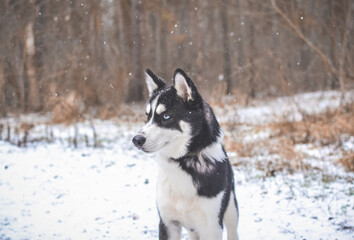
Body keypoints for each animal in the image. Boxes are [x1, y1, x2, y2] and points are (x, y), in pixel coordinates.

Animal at [133, 68, 241, 239]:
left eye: (166, 116)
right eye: (147, 116)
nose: (136, 140)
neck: (182, 162)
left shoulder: (212, 227)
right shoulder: (168, 223)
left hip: (231, 210)